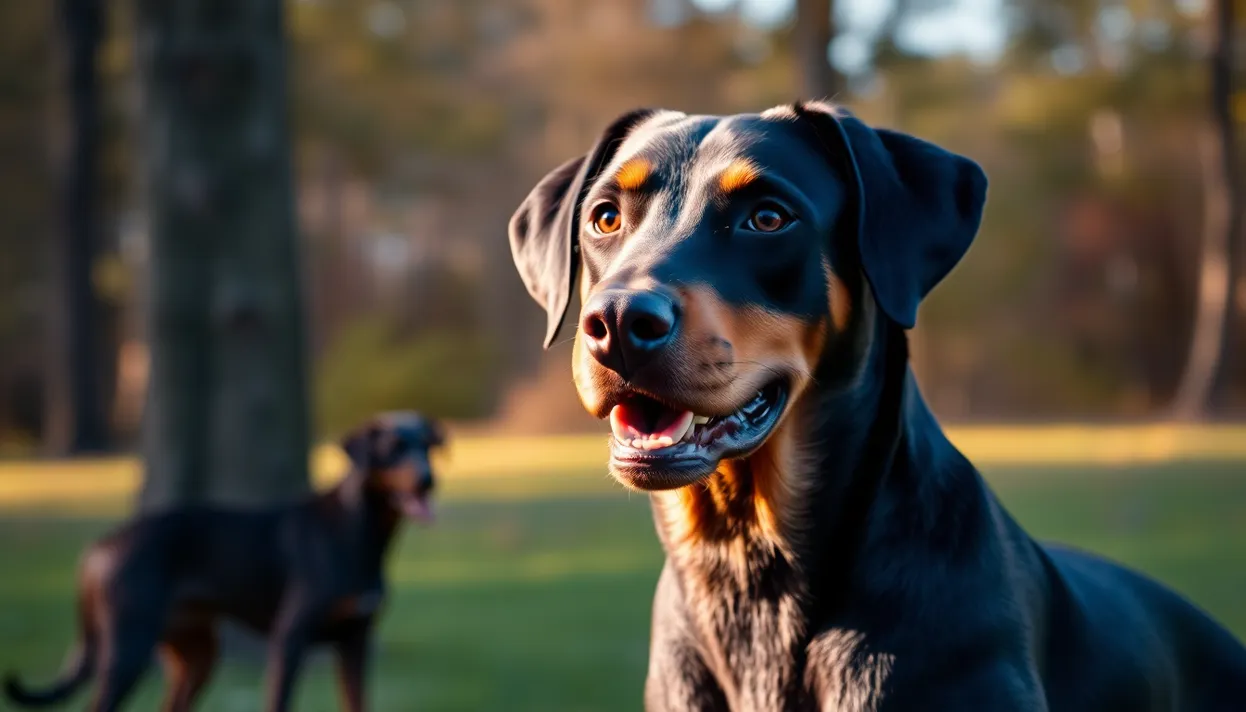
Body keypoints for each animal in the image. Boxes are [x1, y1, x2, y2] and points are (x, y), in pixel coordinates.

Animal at [3, 411, 443, 712]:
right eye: (392, 450)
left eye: (426, 447)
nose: (428, 480)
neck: (359, 531)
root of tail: (104, 543)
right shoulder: (290, 639)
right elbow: (279, 702)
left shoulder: (355, 642)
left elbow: (357, 702)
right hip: (128, 648)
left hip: (196, 655)